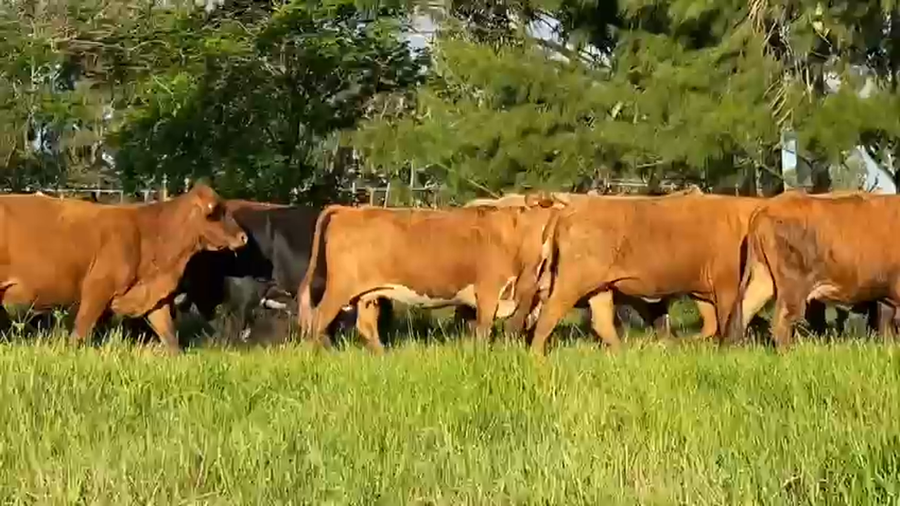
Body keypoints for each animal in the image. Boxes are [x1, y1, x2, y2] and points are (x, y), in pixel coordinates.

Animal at [0, 183, 247, 354]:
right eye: (216, 211)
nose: (243, 236)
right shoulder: (97, 288)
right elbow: (81, 329)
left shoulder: (153, 297)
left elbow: (168, 333)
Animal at [297, 199, 563, 353]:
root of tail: (348, 210)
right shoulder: (488, 290)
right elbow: (483, 330)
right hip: (339, 288)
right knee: (318, 320)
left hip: (367, 293)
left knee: (366, 325)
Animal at [527, 193, 762, 355]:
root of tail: (568, 210)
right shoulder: (726, 286)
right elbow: (728, 320)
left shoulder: (703, 290)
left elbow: (712, 324)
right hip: (572, 282)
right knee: (549, 314)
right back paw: (536, 356)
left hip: (600, 288)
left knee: (602, 321)